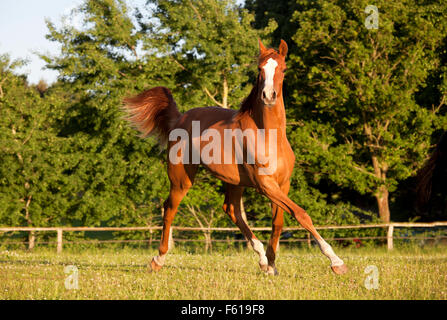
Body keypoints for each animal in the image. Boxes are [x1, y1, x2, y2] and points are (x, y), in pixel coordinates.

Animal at [124, 39, 348, 276]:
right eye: (259, 69)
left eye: (283, 69)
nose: (268, 95)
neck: (269, 135)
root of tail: (179, 118)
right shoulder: (266, 185)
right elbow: (301, 214)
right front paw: (336, 262)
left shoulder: (282, 184)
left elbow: (278, 222)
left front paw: (272, 265)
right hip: (181, 180)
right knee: (170, 208)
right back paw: (158, 260)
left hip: (234, 181)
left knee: (231, 209)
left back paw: (261, 259)